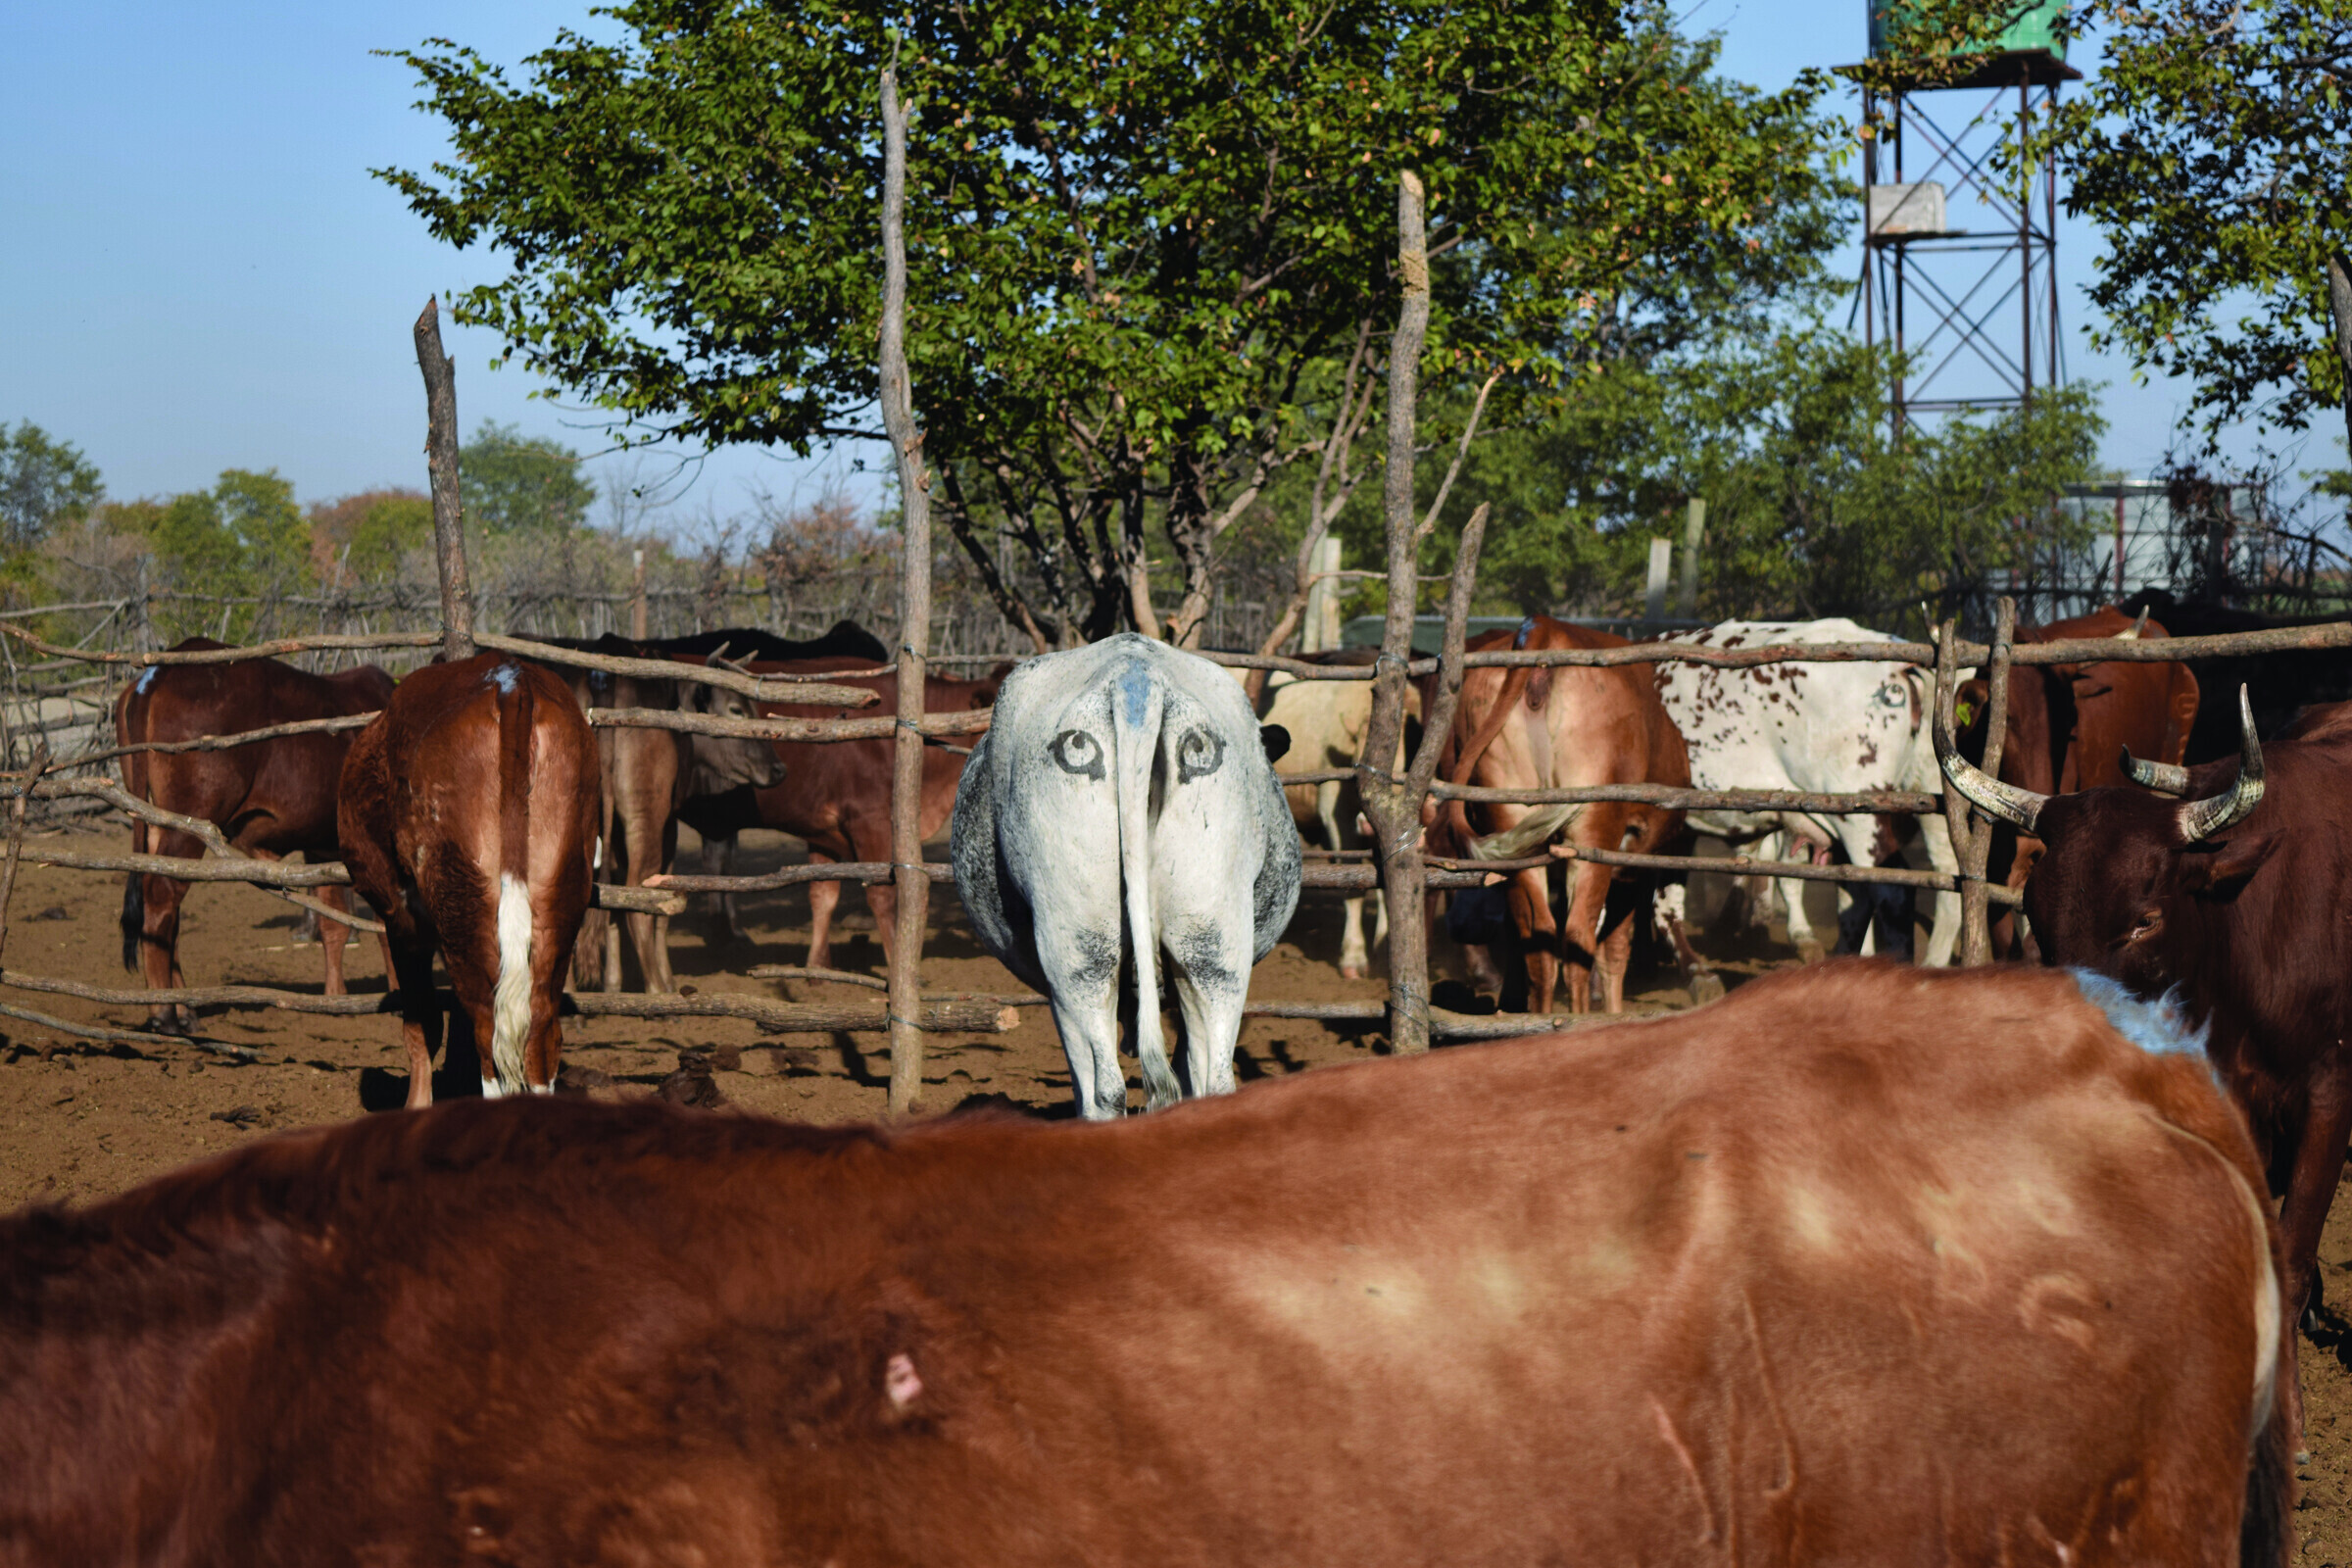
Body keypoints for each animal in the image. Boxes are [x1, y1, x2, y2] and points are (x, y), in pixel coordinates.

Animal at [112, 640, 396, 1035]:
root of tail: (158, 673)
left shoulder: (321, 847)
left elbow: (333, 925)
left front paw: (335, 998)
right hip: (190, 821)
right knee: (161, 898)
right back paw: (165, 1013)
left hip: (158, 823)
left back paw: (184, 1010)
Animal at [337, 654, 599, 1106]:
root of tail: (513, 681)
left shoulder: (401, 918)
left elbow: (420, 1024)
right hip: (560, 895)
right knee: (541, 1032)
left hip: (459, 899)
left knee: (487, 1032)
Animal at [678, 659, 1001, 971]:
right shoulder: (870, 821)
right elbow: (883, 898)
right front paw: (896, 965)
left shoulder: (822, 831)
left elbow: (823, 895)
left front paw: (817, 968)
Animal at [1428, 617, 1692, 1016]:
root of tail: (1543, 626)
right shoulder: (1630, 864)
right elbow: (1615, 948)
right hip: (1592, 829)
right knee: (1578, 936)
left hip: (1510, 819)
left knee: (1537, 939)